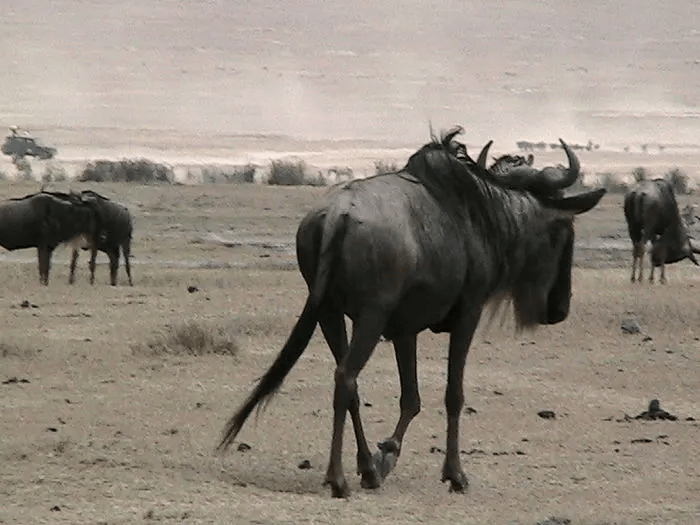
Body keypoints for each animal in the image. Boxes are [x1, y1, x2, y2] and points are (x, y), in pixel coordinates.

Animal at [216, 127, 606, 498]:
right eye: (564, 230)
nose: (559, 309)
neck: (483, 215)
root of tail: (337, 216)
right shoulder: (468, 314)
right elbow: (453, 394)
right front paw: (455, 474)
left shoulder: (406, 329)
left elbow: (411, 398)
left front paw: (385, 455)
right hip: (370, 317)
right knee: (346, 377)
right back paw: (338, 479)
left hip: (328, 314)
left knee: (351, 385)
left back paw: (367, 471)